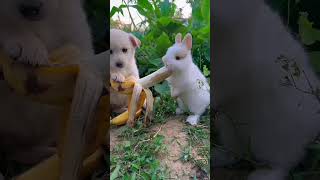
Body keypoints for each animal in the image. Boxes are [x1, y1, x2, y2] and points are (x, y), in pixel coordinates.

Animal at [0, 0, 94, 167]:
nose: (30, 10)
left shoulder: (76, 28)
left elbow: (82, 53)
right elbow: (7, 24)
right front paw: (26, 43)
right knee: (13, 151)